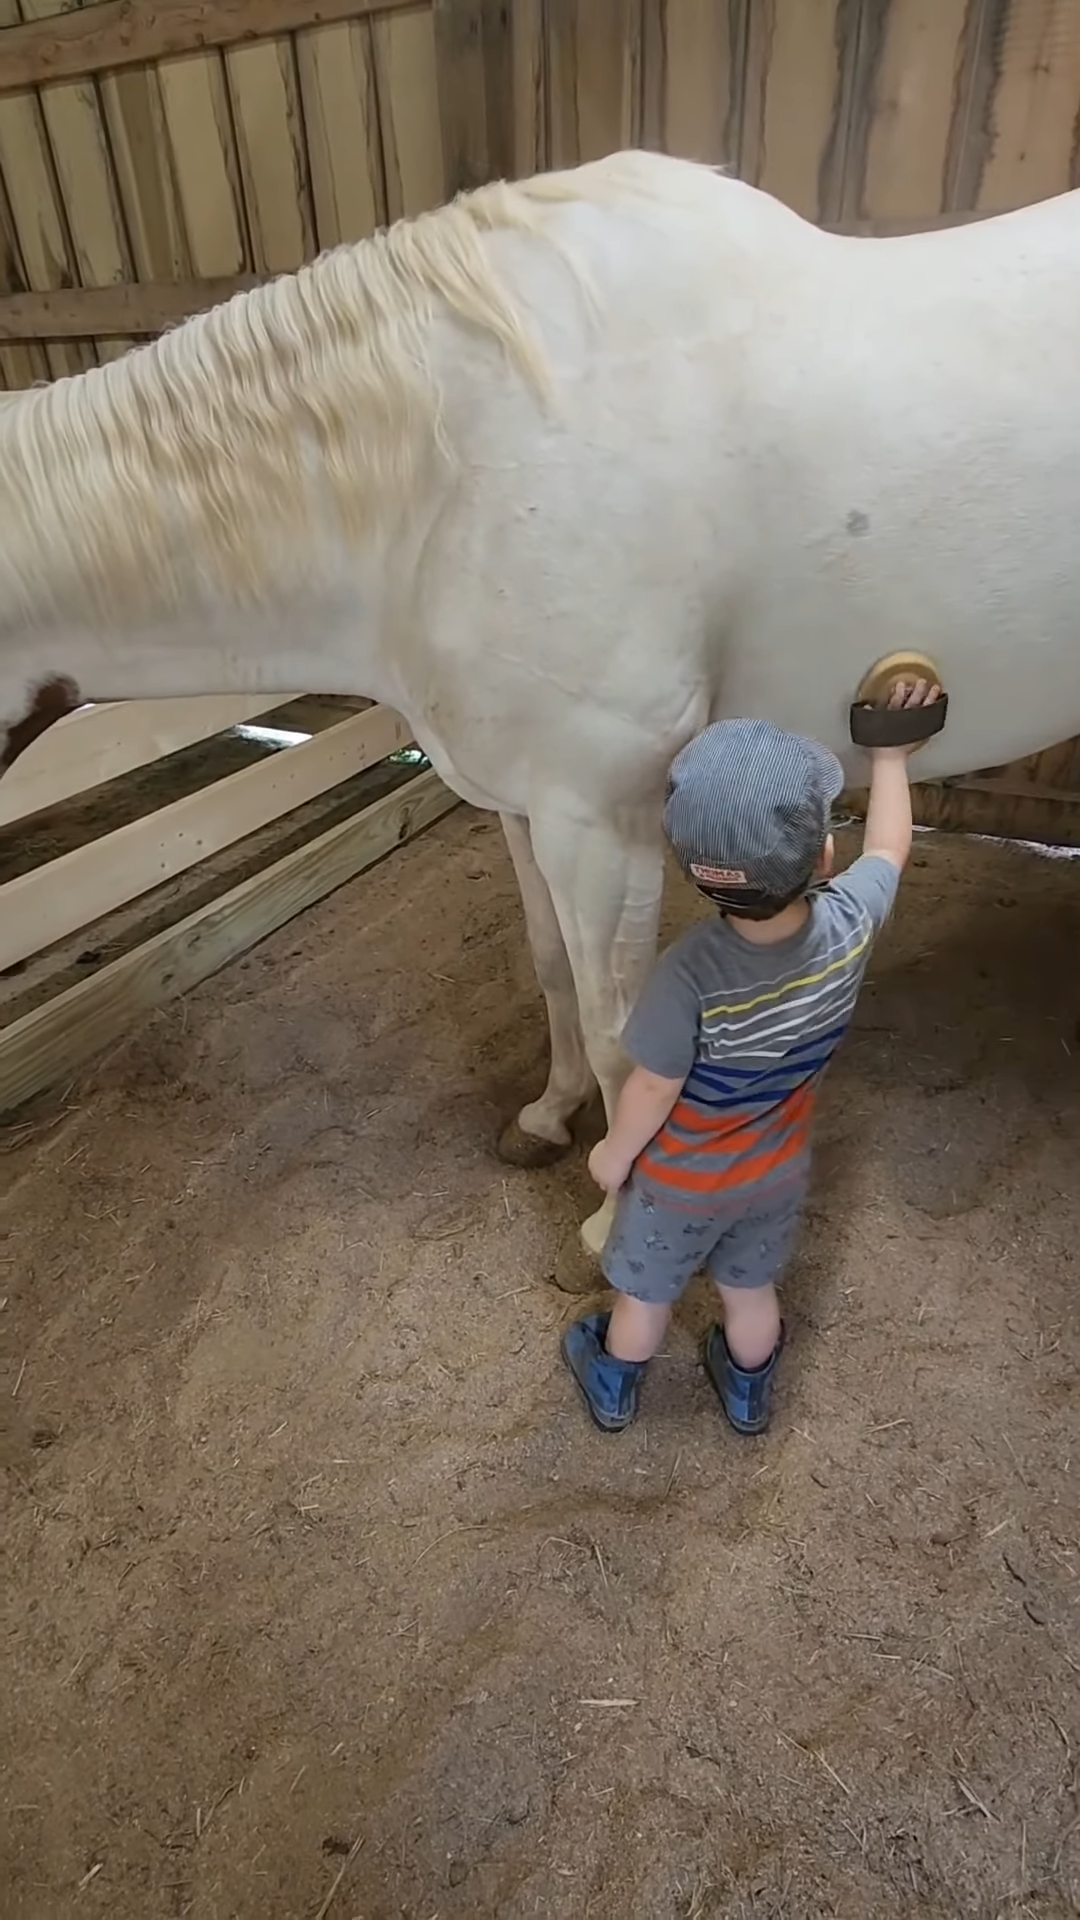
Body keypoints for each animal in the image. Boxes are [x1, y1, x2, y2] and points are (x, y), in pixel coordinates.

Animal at [2, 153, 1076, 1274]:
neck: (453, 468)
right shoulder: (529, 807)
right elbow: (554, 970)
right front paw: (549, 1118)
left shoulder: (602, 821)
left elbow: (618, 1025)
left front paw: (609, 1220)